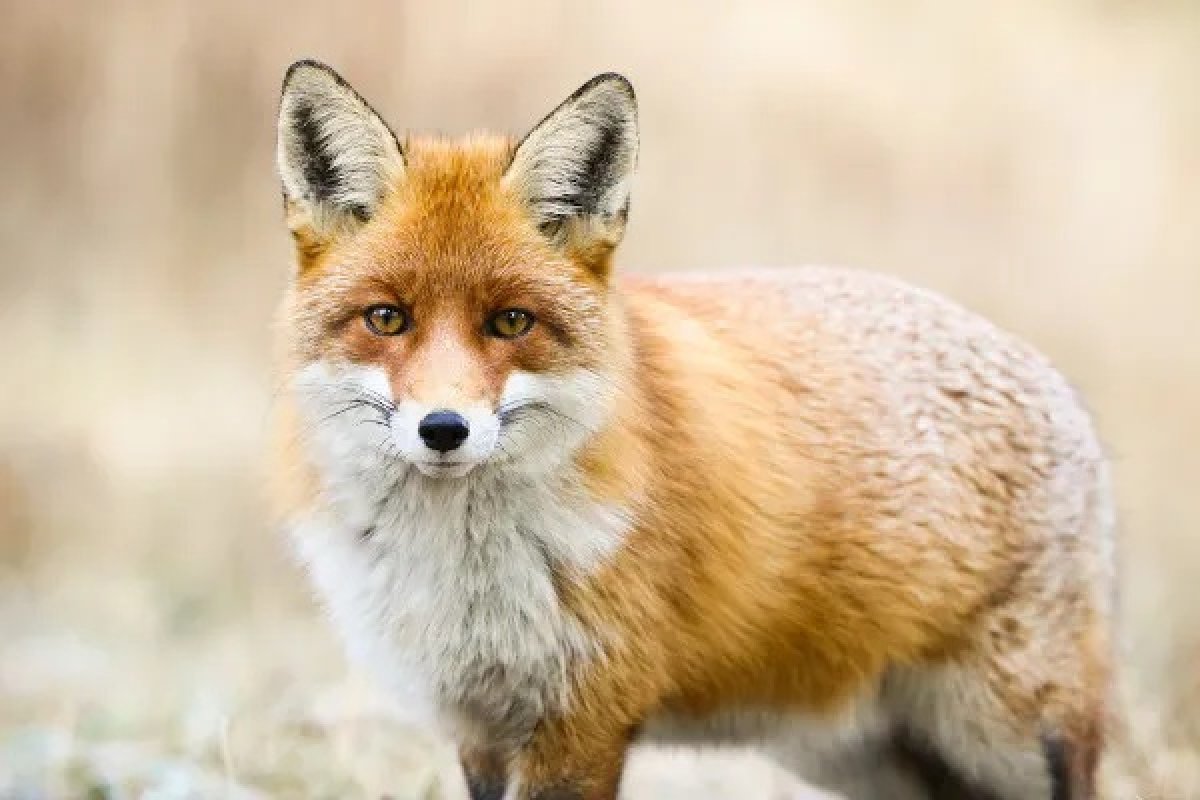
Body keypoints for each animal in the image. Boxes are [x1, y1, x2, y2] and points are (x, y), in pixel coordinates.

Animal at [270, 60, 1116, 800]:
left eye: (511, 322)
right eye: (387, 318)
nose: (443, 429)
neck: (465, 576)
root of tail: (1057, 383)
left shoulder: (585, 718)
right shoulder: (480, 725)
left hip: (1005, 732)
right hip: (864, 757)